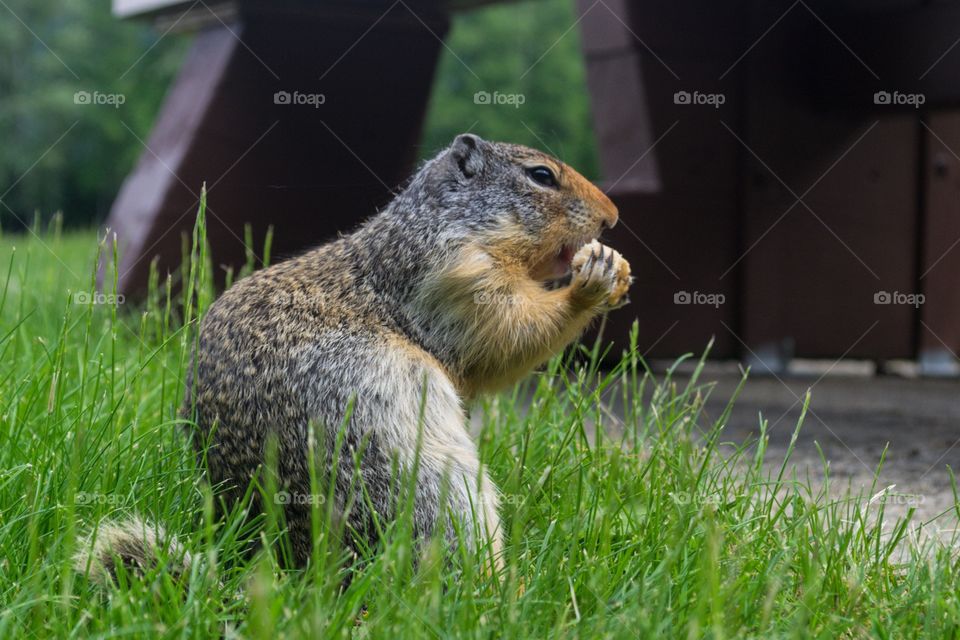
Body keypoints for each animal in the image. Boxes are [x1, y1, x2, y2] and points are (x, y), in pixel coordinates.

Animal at [75, 134, 632, 580]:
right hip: (434, 485)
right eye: (541, 175)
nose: (613, 215)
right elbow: (506, 332)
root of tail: (297, 565)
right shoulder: (458, 280)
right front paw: (593, 280)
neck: (443, 225)